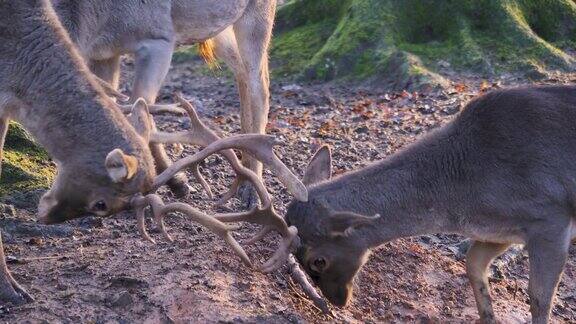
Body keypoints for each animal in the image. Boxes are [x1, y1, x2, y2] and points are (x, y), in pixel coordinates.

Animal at [50, 0, 280, 202]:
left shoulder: (160, 39)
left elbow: (140, 104)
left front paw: (176, 183)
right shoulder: (104, 55)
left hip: (258, 14)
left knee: (260, 81)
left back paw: (252, 189)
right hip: (216, 28)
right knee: (241, 73)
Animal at [240, 85, 576, 324]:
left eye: (318, 261)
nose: (336, 301)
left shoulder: (549, 217)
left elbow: (540, 297)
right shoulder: (501, 232)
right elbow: (473, 265)